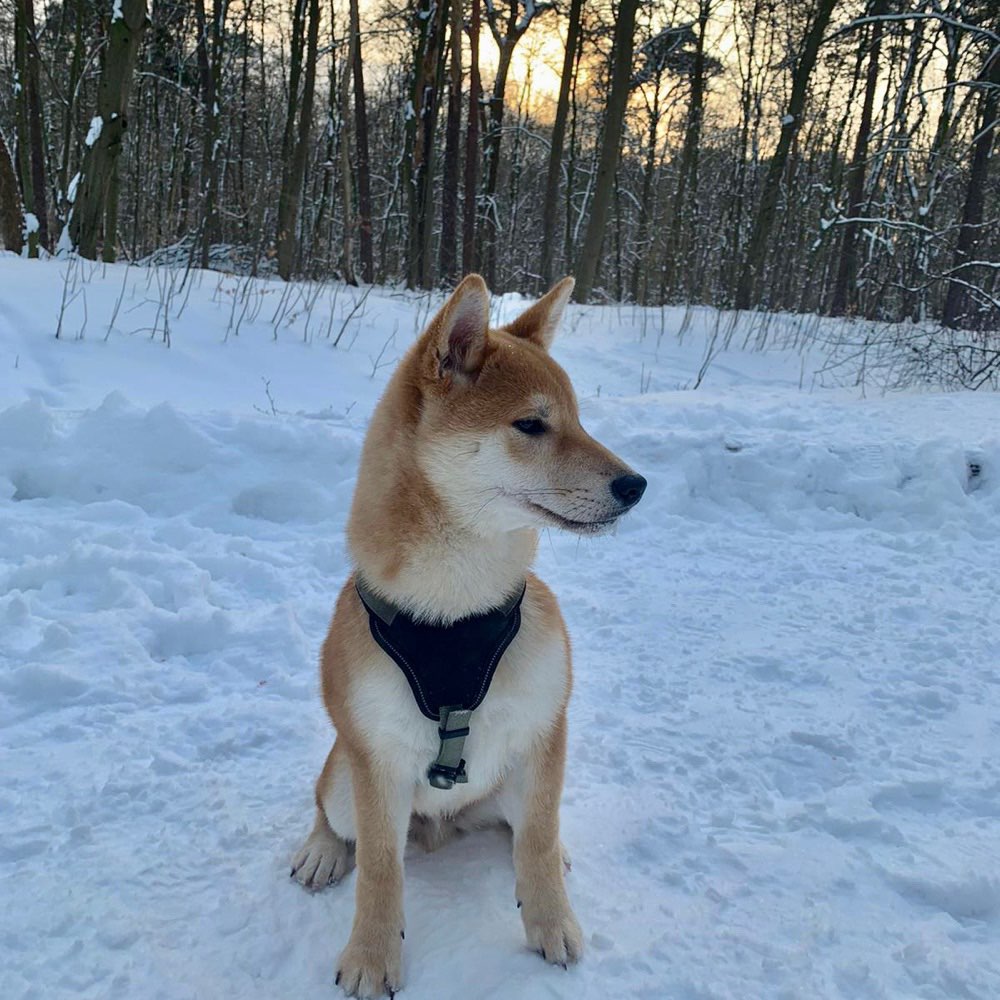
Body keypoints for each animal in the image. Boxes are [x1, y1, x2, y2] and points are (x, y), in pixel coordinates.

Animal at [292, 276, 644, 1000]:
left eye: (579, 419)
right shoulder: (375, 758)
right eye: (531, 424)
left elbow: (536, 842)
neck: (454, 613)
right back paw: (321, 850)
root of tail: (442, 827)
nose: (636, 484)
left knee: (529, 829)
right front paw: (371, 954)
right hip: (343, 779)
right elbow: (380, 870)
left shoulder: (543, 730)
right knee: (330, 813)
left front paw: (550, 921)